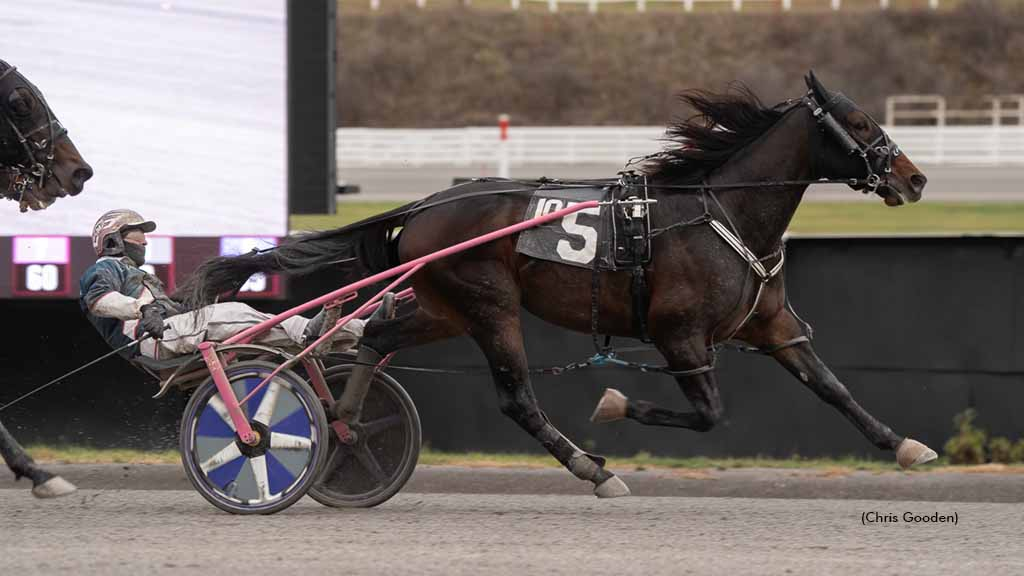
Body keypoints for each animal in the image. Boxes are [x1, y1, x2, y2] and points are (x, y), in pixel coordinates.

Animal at [180, 71, 933, 494]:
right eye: (859, 122)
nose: (915, 178)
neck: (722, 212)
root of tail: (424, 207)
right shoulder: (680, 336)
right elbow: (708, 414)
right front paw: (613, 405)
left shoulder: (771, 326)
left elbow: (832, 387)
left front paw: (904, 444)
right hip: (491, 305)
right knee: (517, 399)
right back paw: (592, 470)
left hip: (446, 305)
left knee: (380, 336)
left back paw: (345, 424)